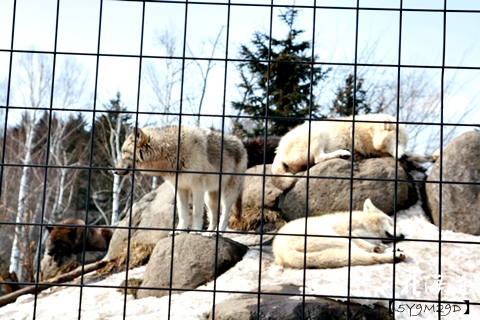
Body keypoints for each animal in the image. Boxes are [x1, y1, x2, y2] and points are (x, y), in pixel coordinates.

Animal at [114, 125, 246, 235]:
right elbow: (182, 213)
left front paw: (195, 231)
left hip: (227, 194)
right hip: (210, 198)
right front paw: (178, 231)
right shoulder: (180, 188)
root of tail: (241, 143)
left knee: (225, 214)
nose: (115, 171)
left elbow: (196, 212)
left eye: (123, 152)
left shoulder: (197, 187)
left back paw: (217, 233)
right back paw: (208, 233)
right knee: (214, 217)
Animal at [274, 199, 404, 268]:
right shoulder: (343, 230)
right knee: (367, 255)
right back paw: (394, 254)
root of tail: (284, 254)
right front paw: (378, 247)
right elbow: (364, 243)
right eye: (392, 222)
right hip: (337, 238)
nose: (403, 236)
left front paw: (381, 246)